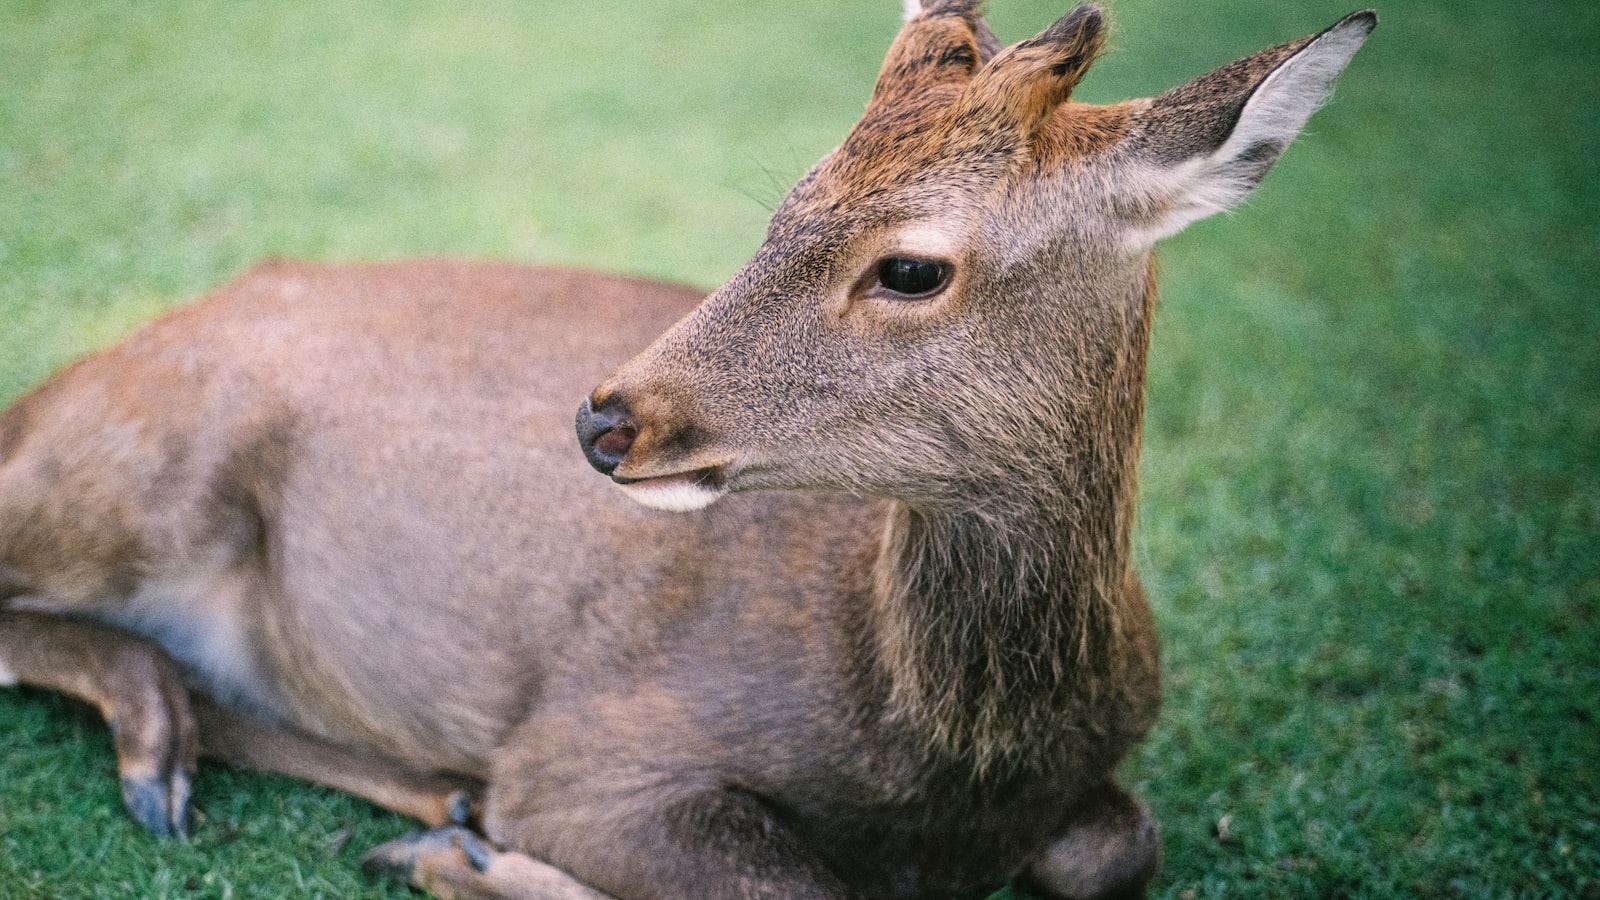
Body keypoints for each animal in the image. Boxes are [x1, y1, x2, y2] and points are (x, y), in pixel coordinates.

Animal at [0, 3, 1376, 890]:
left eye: (911, 267)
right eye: (785, 205)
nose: (605, 417)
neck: (949, 771)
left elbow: (1120, 847)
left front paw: (458, 841)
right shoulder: (594, 751)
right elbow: (794, 884)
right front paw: (479, 861)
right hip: (138, 475)